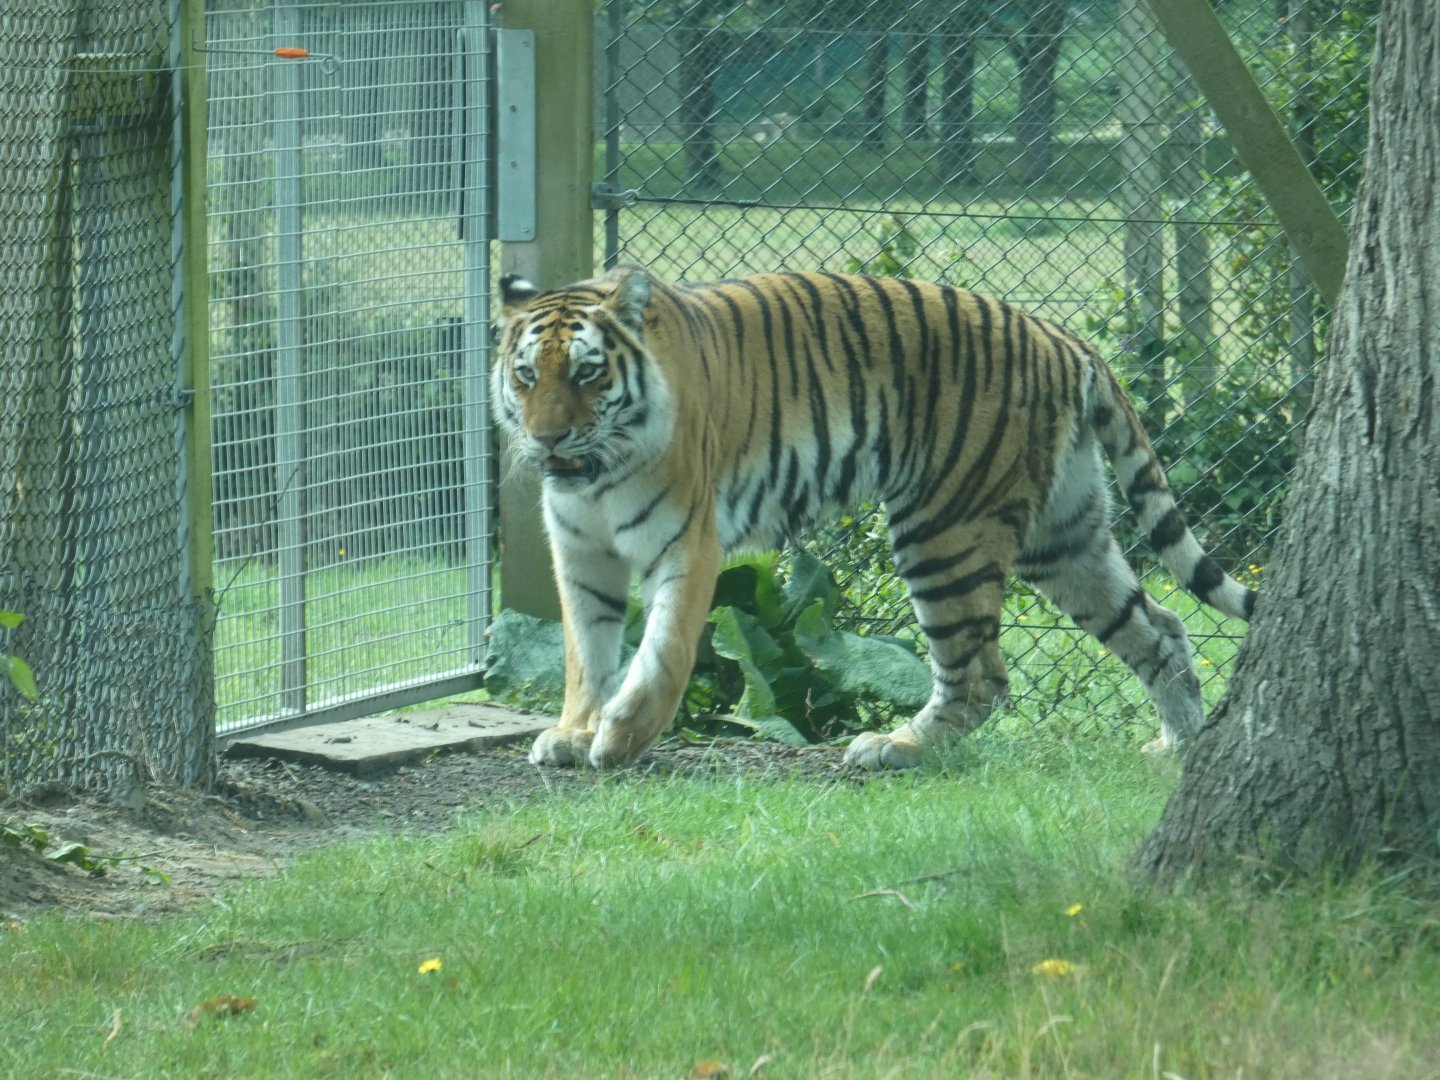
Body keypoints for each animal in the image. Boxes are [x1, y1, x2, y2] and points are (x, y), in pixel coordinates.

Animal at [492, 267, 1256, 771]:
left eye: (588, 374)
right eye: (527, 376)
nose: (548, 439)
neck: (598, 475)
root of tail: (1058, 335)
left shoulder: (687, 544)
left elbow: (663, 651)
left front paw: (621, 736)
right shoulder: (580, 554)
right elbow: (584, 652)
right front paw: (574, 730)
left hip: (944, 528)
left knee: (980, 674)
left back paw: (897, 747)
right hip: (1064, 537)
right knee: (1160, 625)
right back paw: (1180, 743)